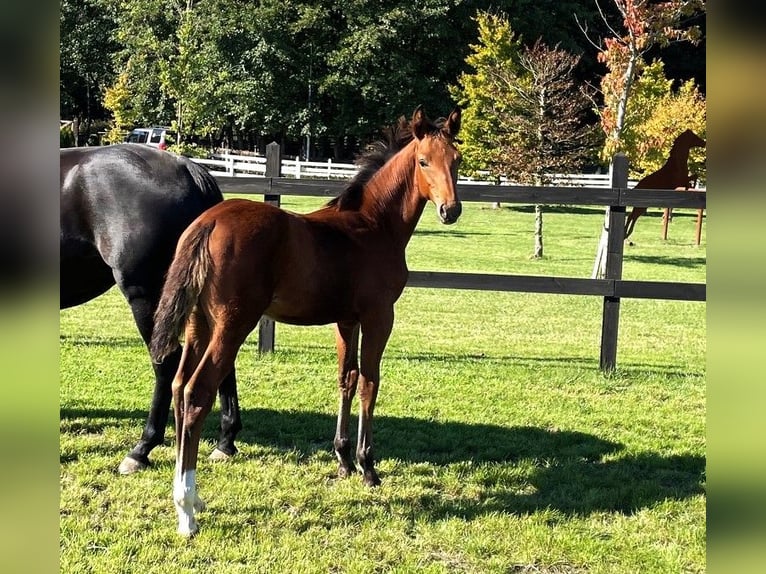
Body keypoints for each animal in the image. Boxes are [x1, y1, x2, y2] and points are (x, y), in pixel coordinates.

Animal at [149, 105, 463, 536]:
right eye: (423, 161)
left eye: (457, 159)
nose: (451, 210)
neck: (373, 224)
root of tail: (206, 223)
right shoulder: (379, 316)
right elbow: (369, 382)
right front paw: (367, 466)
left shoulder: (346, 321)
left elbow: (346, 379)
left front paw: (344, 459)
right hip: (233, 324)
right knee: (197, 392)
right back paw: (187, 511)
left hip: (200, 322)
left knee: (179, 386)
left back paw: (188, 498)